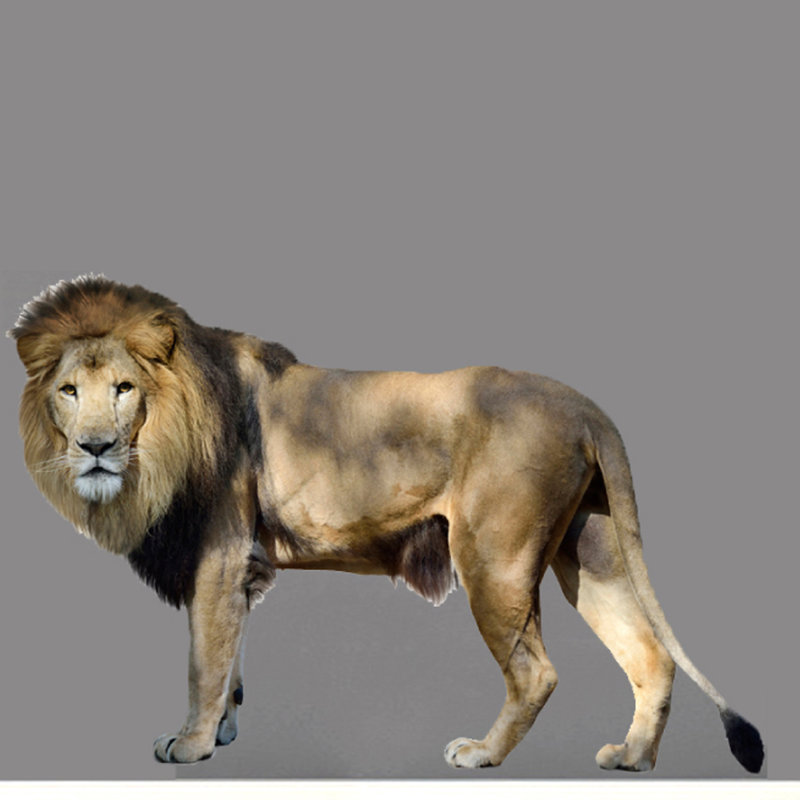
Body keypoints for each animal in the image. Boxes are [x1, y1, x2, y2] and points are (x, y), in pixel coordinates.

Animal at [10, 275, 763, 773]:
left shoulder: (217, 555)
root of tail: (584, 405)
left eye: (124, 390)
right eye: (69, 391)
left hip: (493, 557)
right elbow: (232, 661)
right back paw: (632, 758)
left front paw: (190, 745)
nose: (96, 447)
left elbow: (204, 660)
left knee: (537, 672)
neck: (164, 437)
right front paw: (222, 731)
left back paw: (482, 754)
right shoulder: (241, 567)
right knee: (650, 654)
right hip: (589, 552)